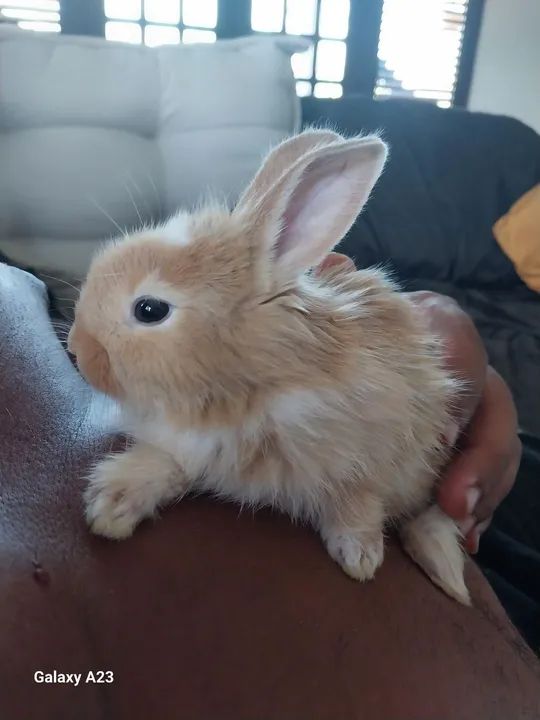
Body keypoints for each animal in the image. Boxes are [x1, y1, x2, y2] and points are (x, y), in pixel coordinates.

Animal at [68, 129, 470, 605]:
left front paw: (360, 557)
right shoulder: (195, 447)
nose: (75, 348)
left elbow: (358, 502)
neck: (247, 388)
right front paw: (111, 505)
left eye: (150, 309)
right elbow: (169, 462)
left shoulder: (377, 457)